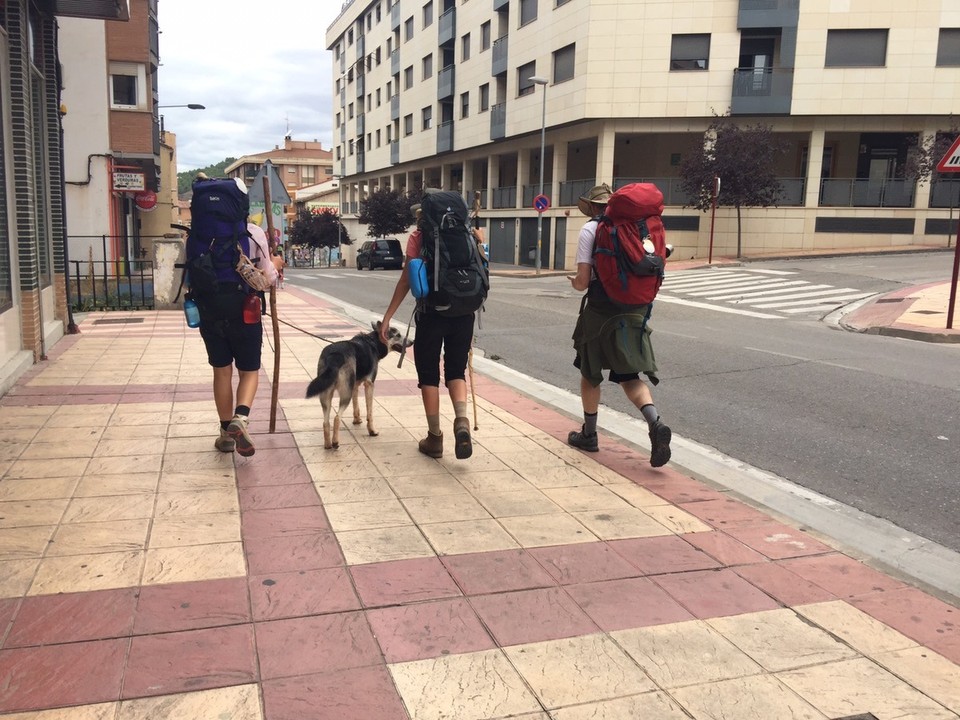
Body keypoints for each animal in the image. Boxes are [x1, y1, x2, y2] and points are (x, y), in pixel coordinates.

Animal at [304, 322, 408, 450]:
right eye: (398, 335)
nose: (412, 341)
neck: (373, 342)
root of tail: (335, 355)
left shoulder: (354, 385)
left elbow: (356, 405)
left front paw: (357, 420)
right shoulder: (369, 384)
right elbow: (369, 412)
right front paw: (372, 431)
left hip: (326, 392)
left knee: (326, 422)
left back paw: (328, 444)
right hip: (345, 393)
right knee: (337, 418)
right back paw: (335, 442)